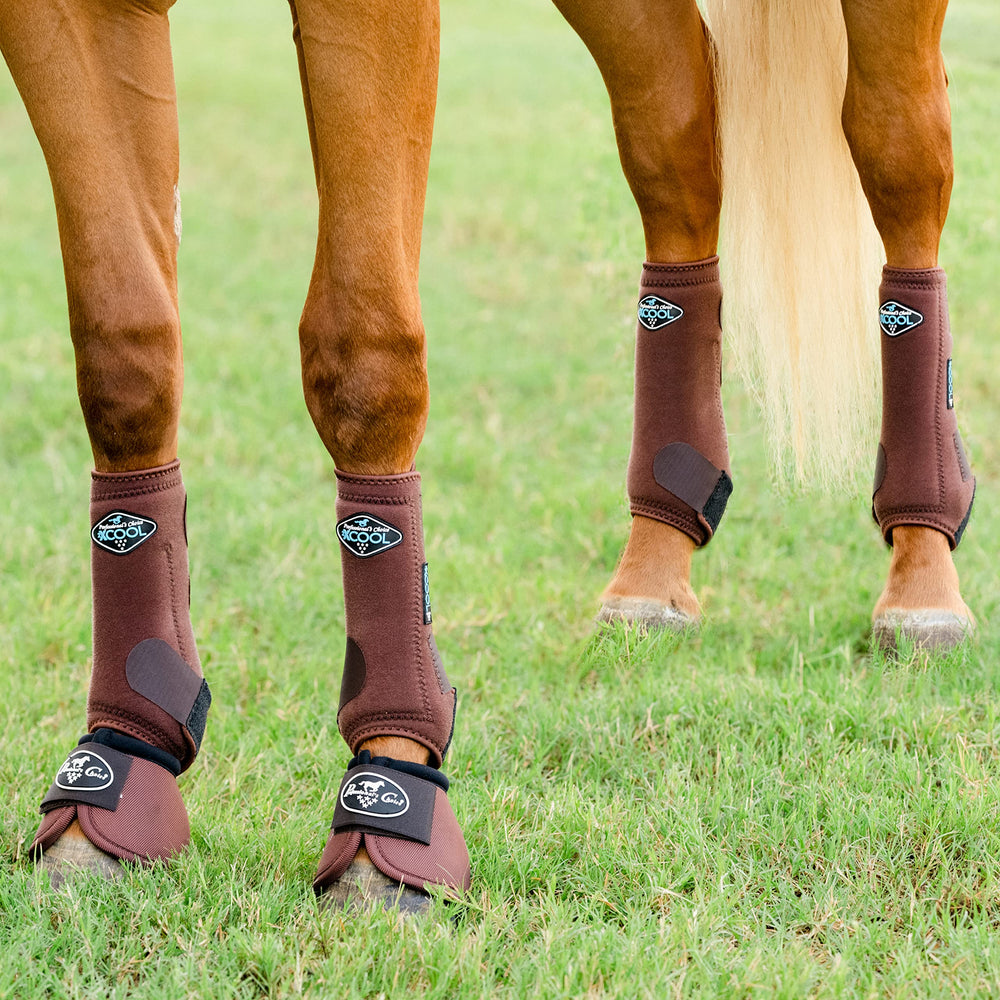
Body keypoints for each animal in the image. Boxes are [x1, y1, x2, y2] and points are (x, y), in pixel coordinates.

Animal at [0, 0, 975, 910]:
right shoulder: (67, 19)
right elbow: (124, 352)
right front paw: (118, 768)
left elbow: (363, 355)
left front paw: (388, 795)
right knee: (677, 139)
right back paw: (654, 563)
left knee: (901, 153)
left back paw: (924, 568)